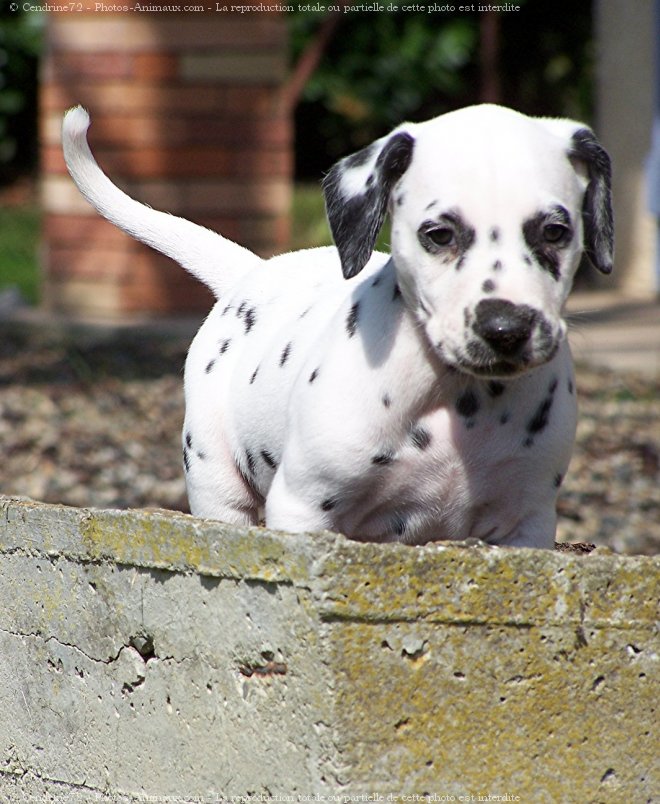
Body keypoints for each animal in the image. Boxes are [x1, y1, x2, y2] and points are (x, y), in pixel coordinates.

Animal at [62, 103, 612, 548]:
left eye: (556, 231)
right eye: (439, 234)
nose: (505, 327)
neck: (455, 399)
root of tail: (250, 270)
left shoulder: (527, 524)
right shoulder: (303, 509)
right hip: (216, 481)